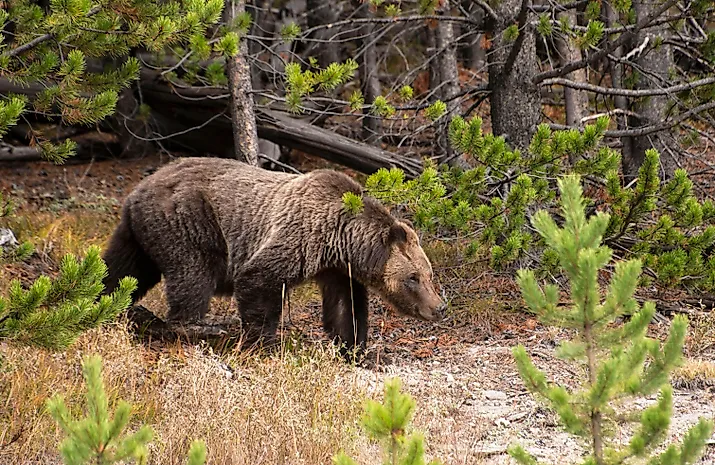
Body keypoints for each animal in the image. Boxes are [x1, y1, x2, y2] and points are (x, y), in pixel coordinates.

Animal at [101, 157, 445, 360]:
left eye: (429, 274)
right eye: (413, 277)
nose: (439, 307)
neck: (341, 238)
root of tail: (138, 190)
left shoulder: (335, 268)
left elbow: (345, 307)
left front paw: (356, 350)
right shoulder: (300, 237)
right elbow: (258, 280)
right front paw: (264, 343)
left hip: (139, 234)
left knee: (120, 270)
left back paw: (104, 302)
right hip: (188, 221)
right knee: (193, 274)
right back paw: (202, 327)